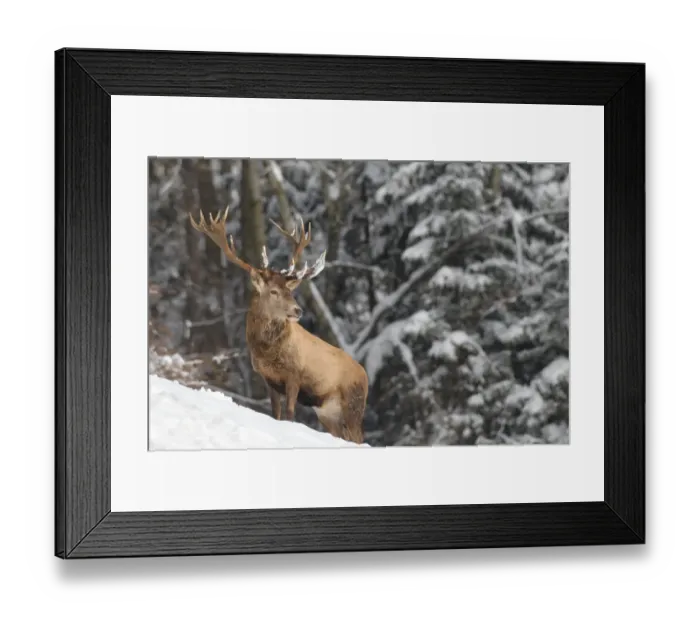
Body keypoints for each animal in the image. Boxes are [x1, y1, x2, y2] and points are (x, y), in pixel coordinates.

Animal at [189, 206, 368, 445]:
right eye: (273, 291)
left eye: (289, 291)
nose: (298, 310)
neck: (268, 352)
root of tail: (365, 376)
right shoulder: (269, 379)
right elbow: (276, 414)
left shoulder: (294, 375)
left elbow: (290, 414)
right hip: (329, 413)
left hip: (353, 405)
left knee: (359, 438)